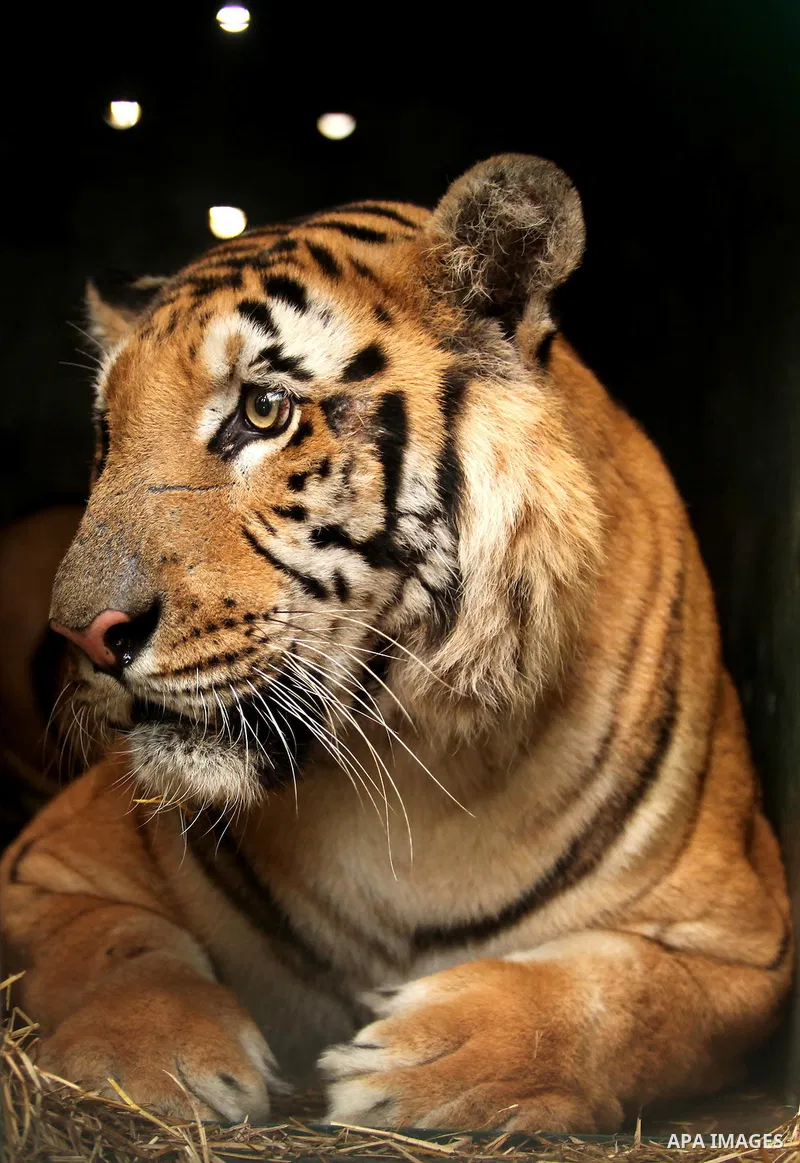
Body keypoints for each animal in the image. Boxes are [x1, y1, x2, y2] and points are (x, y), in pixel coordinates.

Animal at [0, 155, 791, 1134]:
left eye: (263, 410)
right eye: (107, 436)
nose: (82, 631)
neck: (408, 763)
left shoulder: (746, 942)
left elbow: (628, 996)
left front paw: (432, 1060)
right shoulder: (40, 870)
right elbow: (104, 941)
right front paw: (150, 1053)